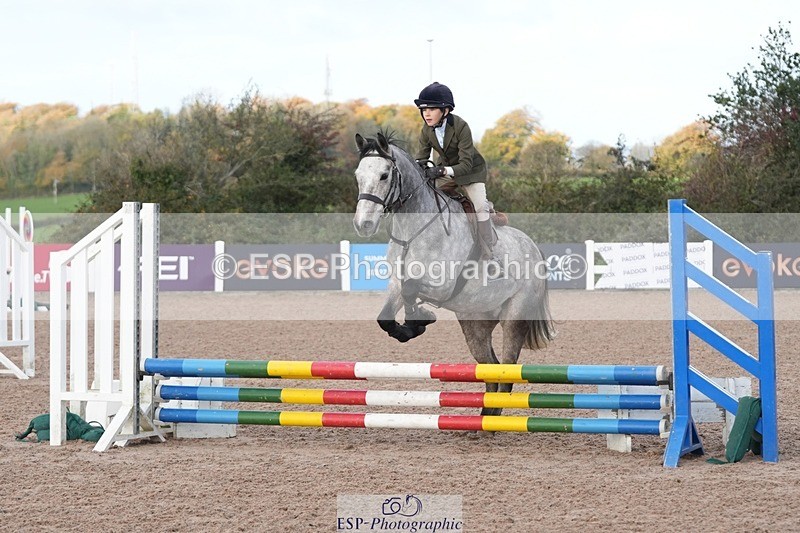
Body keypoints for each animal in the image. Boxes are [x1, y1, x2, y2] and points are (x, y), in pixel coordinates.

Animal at [353, 132, 555, 416]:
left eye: (384, 175)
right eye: (358, 175)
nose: (364, 225)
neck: (411, 232)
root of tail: (534, 247)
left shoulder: (442, 284)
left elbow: (411, 290)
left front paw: (420, 319)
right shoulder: (396, 283)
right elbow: (386, 317)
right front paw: (411, 327)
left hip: (514, 318)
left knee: (506, 371)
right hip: (475, 321)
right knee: (491, 368)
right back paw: (484, 419)